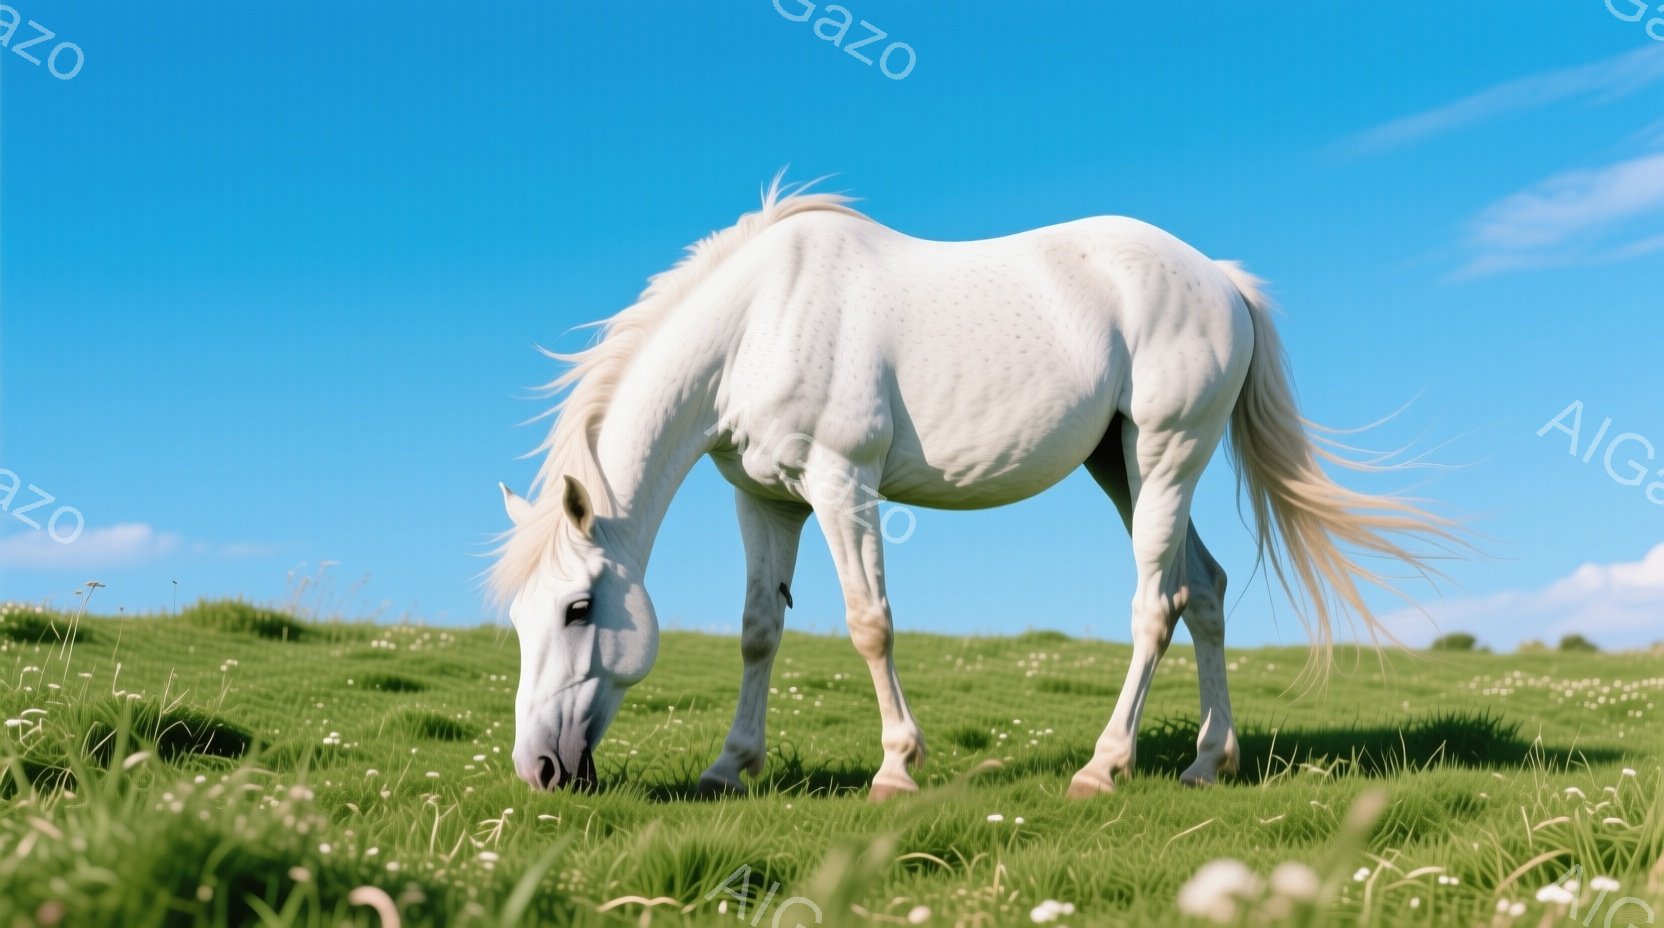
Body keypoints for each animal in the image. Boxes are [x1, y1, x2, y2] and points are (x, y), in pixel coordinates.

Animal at [490, 178, 1452, 799]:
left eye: (579, 609)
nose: (540, 771)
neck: (759, 319)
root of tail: (1223, 280)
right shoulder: (766, 500)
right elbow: (760, 631)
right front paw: (730, 766)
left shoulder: (843, 485)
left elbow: (869, 624)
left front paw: (895, 769)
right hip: (1120, 465)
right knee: (1205, 590)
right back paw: (1208, 762)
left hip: (1166, 453)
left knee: (1159, 602)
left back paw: (1104, 767)